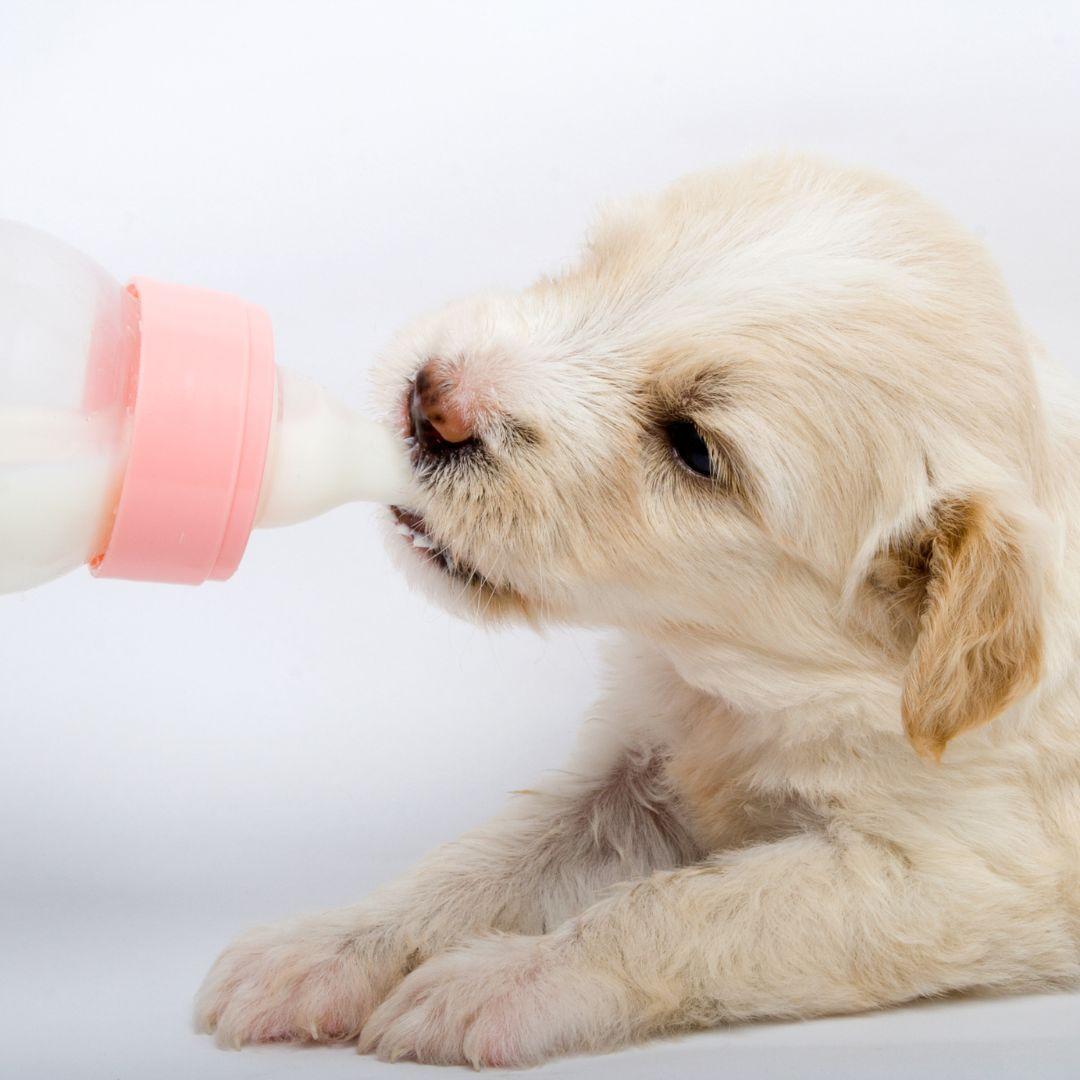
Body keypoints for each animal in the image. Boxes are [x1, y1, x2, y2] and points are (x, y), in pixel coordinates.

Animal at [194, 156, 1080, 1067]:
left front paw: (497, 982)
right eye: (596, 265)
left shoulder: (956, 873)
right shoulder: (636, 766)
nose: (432, 399)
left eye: (693, 448)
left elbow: (681, 908)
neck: (748, 683)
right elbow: (486, 856)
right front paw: (325, 946)